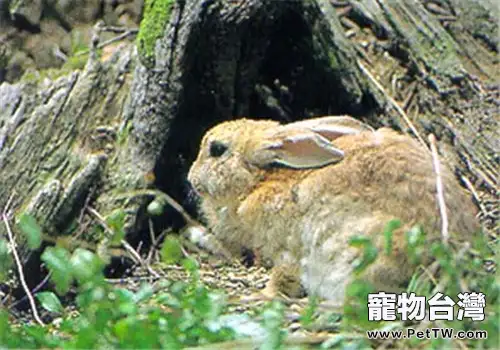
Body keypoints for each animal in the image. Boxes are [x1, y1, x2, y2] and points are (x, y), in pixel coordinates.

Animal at [188, 115, 480, 300]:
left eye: (217, 149)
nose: (191, 179)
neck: (260, 180)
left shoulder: (286, 248)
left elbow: (282, 275)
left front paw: (262, 295)